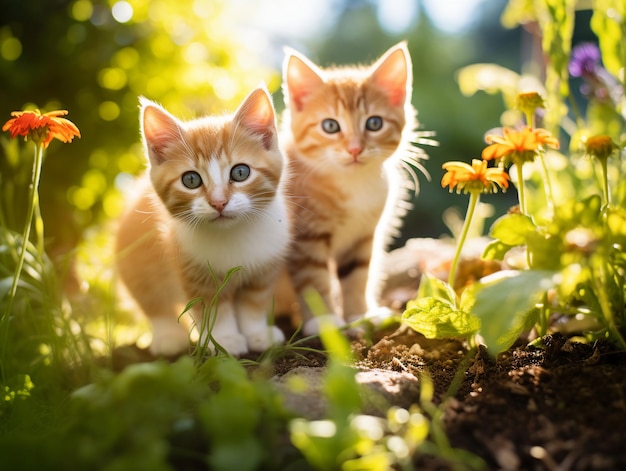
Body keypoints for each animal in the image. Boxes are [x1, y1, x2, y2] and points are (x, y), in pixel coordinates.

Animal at [116, 86, 288, 356]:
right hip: (134, 262)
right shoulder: (193, 271)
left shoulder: (264, 267)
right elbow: (213, 308)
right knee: (153, 303)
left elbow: (253, 303)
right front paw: (225, 340)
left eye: (241, 172)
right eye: (191, 180)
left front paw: (258, 334)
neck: (233, 236)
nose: (218, 202)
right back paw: (168, 337)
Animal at [278, 41, 424, 336]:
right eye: (330, 125)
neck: (353, 185)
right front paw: (323, 320)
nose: (355, 149)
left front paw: (360, 316)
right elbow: (314, 278)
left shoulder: (364, 236)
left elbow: (357, 276)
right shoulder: (306, 238)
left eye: (374, 123)